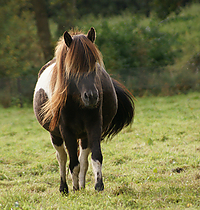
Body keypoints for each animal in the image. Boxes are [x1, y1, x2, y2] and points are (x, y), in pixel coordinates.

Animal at [33, 27, 135, 194]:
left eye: (94, 64)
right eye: (72, 67)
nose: (92, 96)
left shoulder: (94, 126)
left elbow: (95, 157)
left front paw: (98, 186)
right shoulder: (66, 131)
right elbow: (72, 163)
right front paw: (74, 188)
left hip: (84, 135)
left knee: (83, 159)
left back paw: (81, 185)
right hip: (55, 135)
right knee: (62, 158)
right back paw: (64, 188)